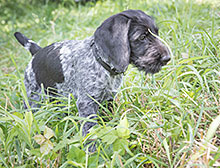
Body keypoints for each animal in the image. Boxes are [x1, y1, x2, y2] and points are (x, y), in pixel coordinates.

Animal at [14, 9, 170, 136]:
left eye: (156, 33)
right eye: (142, 37)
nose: (167, 58)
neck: (101, 64)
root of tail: (37, 52)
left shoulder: (108, 99)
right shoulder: (86, 103)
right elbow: (90, 130)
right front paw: (92, 151)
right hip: (33, 98)